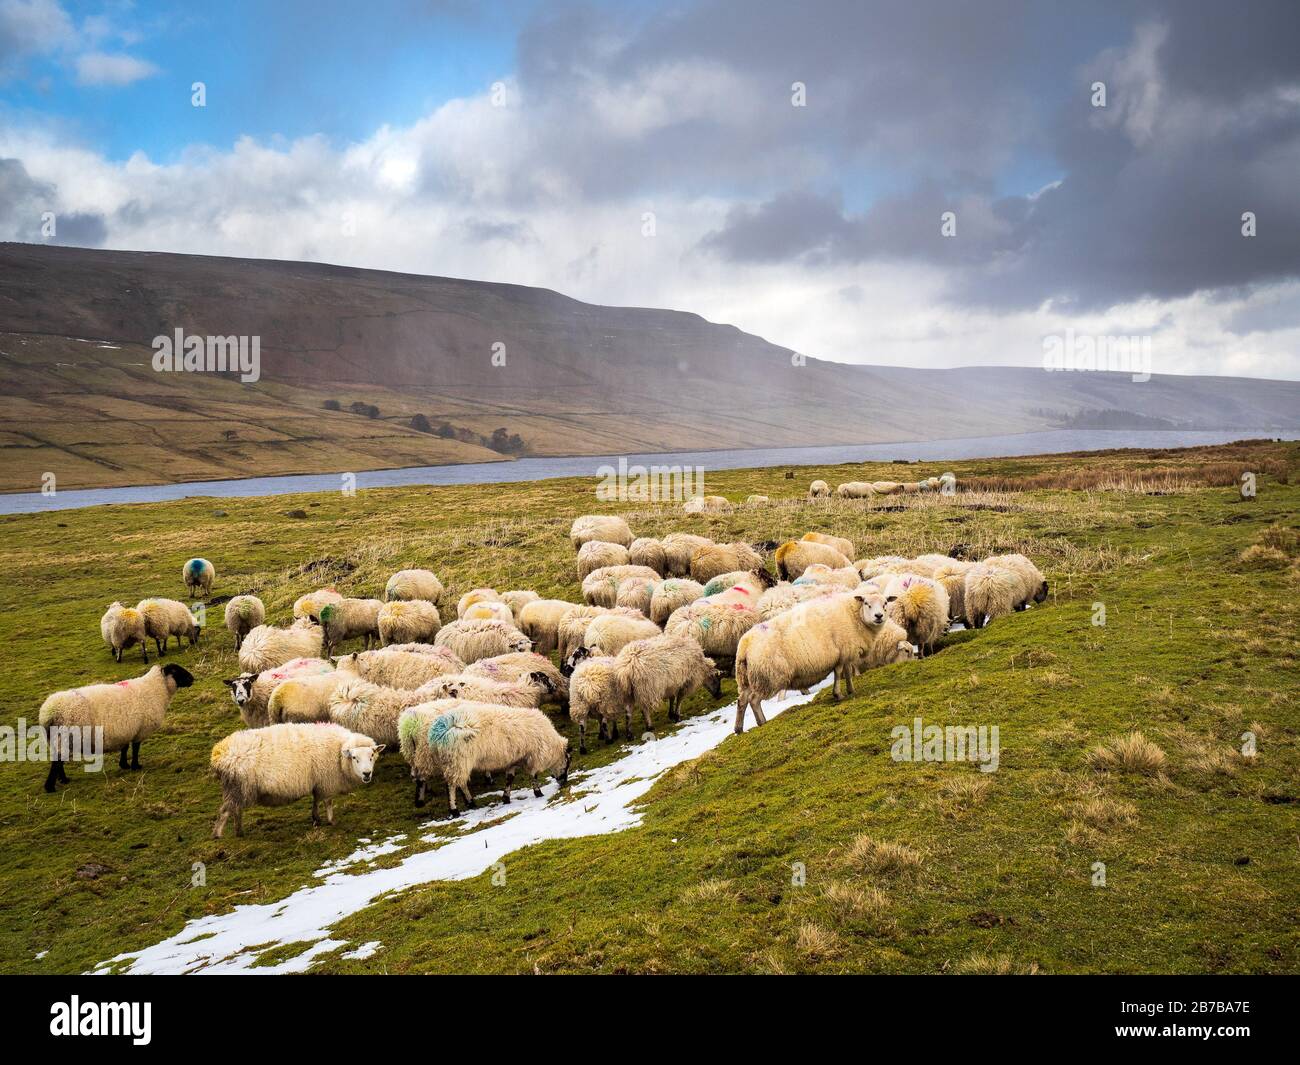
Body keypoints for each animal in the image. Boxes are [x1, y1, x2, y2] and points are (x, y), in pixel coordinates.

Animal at [39, 665, 191, 790]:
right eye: (176, 671)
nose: (192, 678)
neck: (156, 688)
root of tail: (49, 712)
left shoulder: (127, 730)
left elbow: (125, 747)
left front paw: (124, 765)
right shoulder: (140, 731)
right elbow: (135, 749)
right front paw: (136, 766)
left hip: (56, 740)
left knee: (58, 760)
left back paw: (63, 780)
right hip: (66, 736)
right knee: (57, 762)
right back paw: (50, 787)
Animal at [208, 723, 379, 842]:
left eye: (371, 756)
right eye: (355, 758)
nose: (367, 774)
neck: (338, 752)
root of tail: (218, 754)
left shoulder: (318, 782)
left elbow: (316, 801)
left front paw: (316, 819)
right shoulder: (326, 781)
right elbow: (328, 802)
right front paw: (331, 821)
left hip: (237, 789)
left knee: (236, 810)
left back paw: (239, 832)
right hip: (237, 787)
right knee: (226, 811)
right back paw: (218, 835)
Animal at [395, 702, 569, 816]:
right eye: (568, 762)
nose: (563, 783)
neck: (551, 743)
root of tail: (438, 730)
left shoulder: (513, 759)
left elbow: (509, 778)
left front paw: (506, 798)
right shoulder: (532, 756)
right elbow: (533, 776)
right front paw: (538, 793)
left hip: (450, 760)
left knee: (455, 782)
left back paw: (468, 802)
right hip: (456, 759)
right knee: (451, 785)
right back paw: (455, 809)